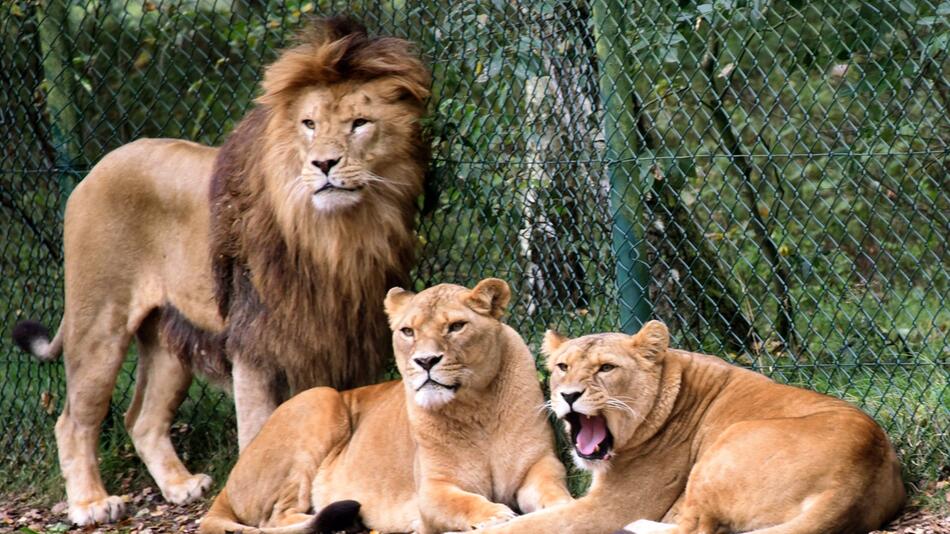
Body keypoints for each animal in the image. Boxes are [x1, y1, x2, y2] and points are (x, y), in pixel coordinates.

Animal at [13, 17, 430, 528]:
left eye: (360, 123)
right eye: (309, 124)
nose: (324, 164)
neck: (336, 236)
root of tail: (95, 168)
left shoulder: (335, 340)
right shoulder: (254, 343)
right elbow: (259, 432)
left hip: (170, 338)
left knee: (142, 419)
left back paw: (179, 486)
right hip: (99, 324)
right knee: (73, 420)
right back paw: (91, 503)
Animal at [199, 280, 572, 534]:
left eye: (456, 326)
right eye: (407, 331)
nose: (425, 361)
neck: (475, 406)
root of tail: (229, 480)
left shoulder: (539, 465)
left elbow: (553, 490)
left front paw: (566, 507)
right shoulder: (431, 490)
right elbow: (462, 501)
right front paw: (496, 515)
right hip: (320, 397)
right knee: (274, 519)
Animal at [476, 322, 908, 534]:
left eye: (606, 368)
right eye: (562, 367)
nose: (567, 395)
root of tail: (854, 476)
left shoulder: (608, 508)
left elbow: (523, 528)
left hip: (723, 447)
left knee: (695, 529)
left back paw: (636, 528)